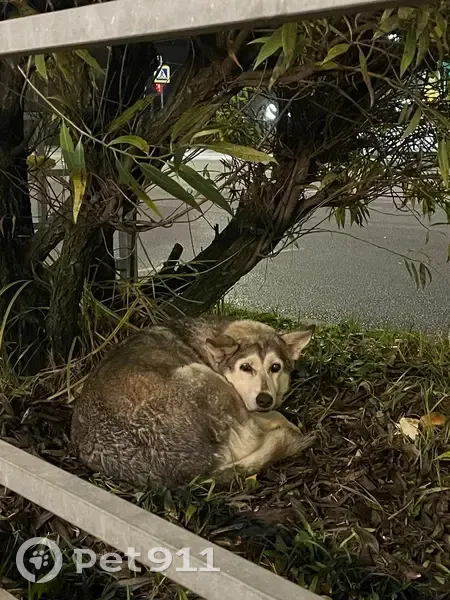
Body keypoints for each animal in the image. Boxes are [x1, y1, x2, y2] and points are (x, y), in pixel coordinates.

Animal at [70, 316, 316, 488]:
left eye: (275, 367)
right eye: (246, 367)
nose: (264, 399)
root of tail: (196, 472)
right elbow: (275, 416)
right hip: (201, 375)